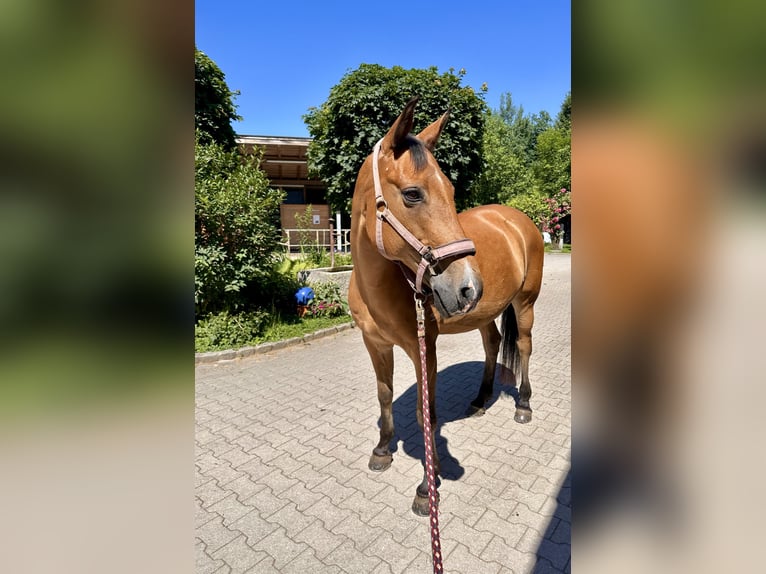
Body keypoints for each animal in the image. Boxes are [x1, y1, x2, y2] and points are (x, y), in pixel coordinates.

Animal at [348, 97, 544, 515]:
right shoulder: (375, 344)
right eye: (412, 194)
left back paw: (523, 404)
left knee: (522, 346)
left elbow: (427, 413)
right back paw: (480, 400)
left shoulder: (424, 348)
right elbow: (384, 394)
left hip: (525, 304)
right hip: (485, 312)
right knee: (492, 344)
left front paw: (427, 487)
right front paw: (382, 450)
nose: (468, 286)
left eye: (452, 191)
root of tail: (515, 218)